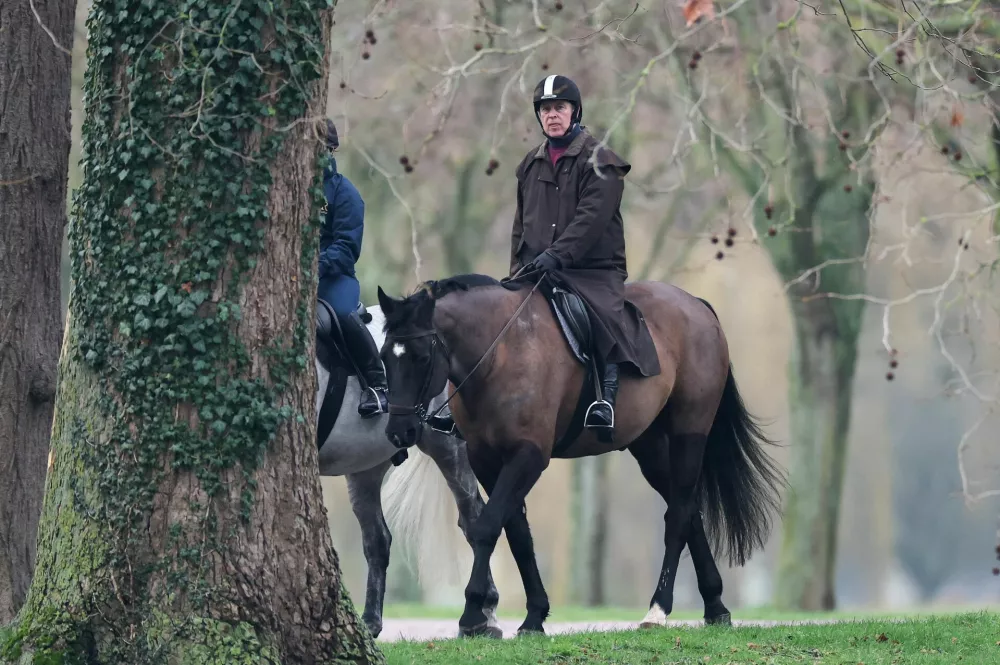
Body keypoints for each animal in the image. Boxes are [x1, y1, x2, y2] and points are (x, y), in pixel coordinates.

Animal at [314, 302, 501, 638]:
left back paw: (483, 615)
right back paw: (370, 623)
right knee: (377, 540)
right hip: (365, 467)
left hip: (449, 449)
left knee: (473, 519)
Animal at [375, 273, 785, 637]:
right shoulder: (486, 460)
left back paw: (658, 609)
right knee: (689, 511)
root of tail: (695, 305)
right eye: (383, 356)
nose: (398, 431)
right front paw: (534, 616)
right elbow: (516, 532)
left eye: (421, 356)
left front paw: (473, 613)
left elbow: (488, 526)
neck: (501, 353)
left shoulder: (528, 456)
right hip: (650, 447)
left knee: (679, 514)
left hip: (690, 432)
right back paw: (715, 606)